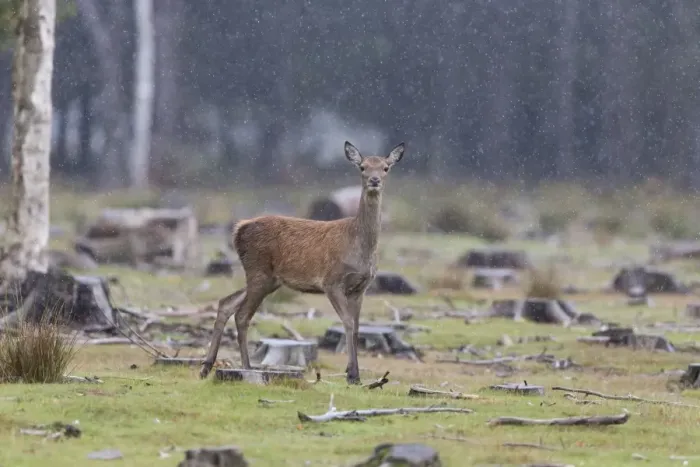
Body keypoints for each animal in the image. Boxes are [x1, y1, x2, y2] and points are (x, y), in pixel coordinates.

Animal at [199, 141, 405, 384]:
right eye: (362, 167)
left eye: (385, 168)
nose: (374, 180)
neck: (359, 245)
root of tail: (239, 229)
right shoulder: (331, 281)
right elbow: (346, 322)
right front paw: (352, 375)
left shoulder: (361, 288)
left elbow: (356, 327)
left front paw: (353, 373)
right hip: (258, 270)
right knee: (241, 314)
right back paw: (247, 368)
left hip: (269, 279)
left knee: (226, 303)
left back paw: (207, 367)